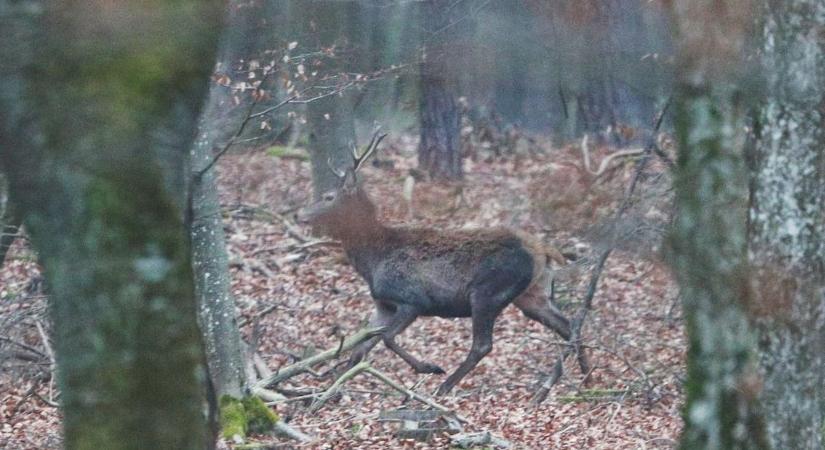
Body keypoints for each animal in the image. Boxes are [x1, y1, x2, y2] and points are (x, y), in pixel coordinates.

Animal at [296, 132, 584, 396]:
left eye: (328, 196)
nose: (300, 215)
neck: (373, 260)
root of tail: (543, 250)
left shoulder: (412, 299)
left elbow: (387, 338)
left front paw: (429, 367)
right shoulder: (383, 306)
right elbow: (360, 350)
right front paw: (326, 392)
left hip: (487, 292)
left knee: (482, 345)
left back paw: (444, 386)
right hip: (532, 295)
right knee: (569, 325)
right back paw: (583, 377)